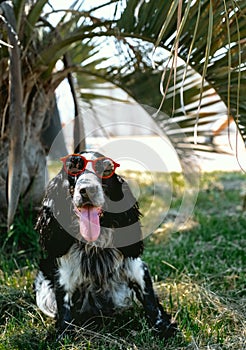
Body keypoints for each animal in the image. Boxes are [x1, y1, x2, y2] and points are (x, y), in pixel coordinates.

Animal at [34, 150, 177, 340]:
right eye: (73, 169)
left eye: (107, 170)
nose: (88, 189)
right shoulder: (63, 275)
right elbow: (64, 307)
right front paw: (64, 335)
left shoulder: (137, 267)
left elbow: (150, 300)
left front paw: (163, 325)